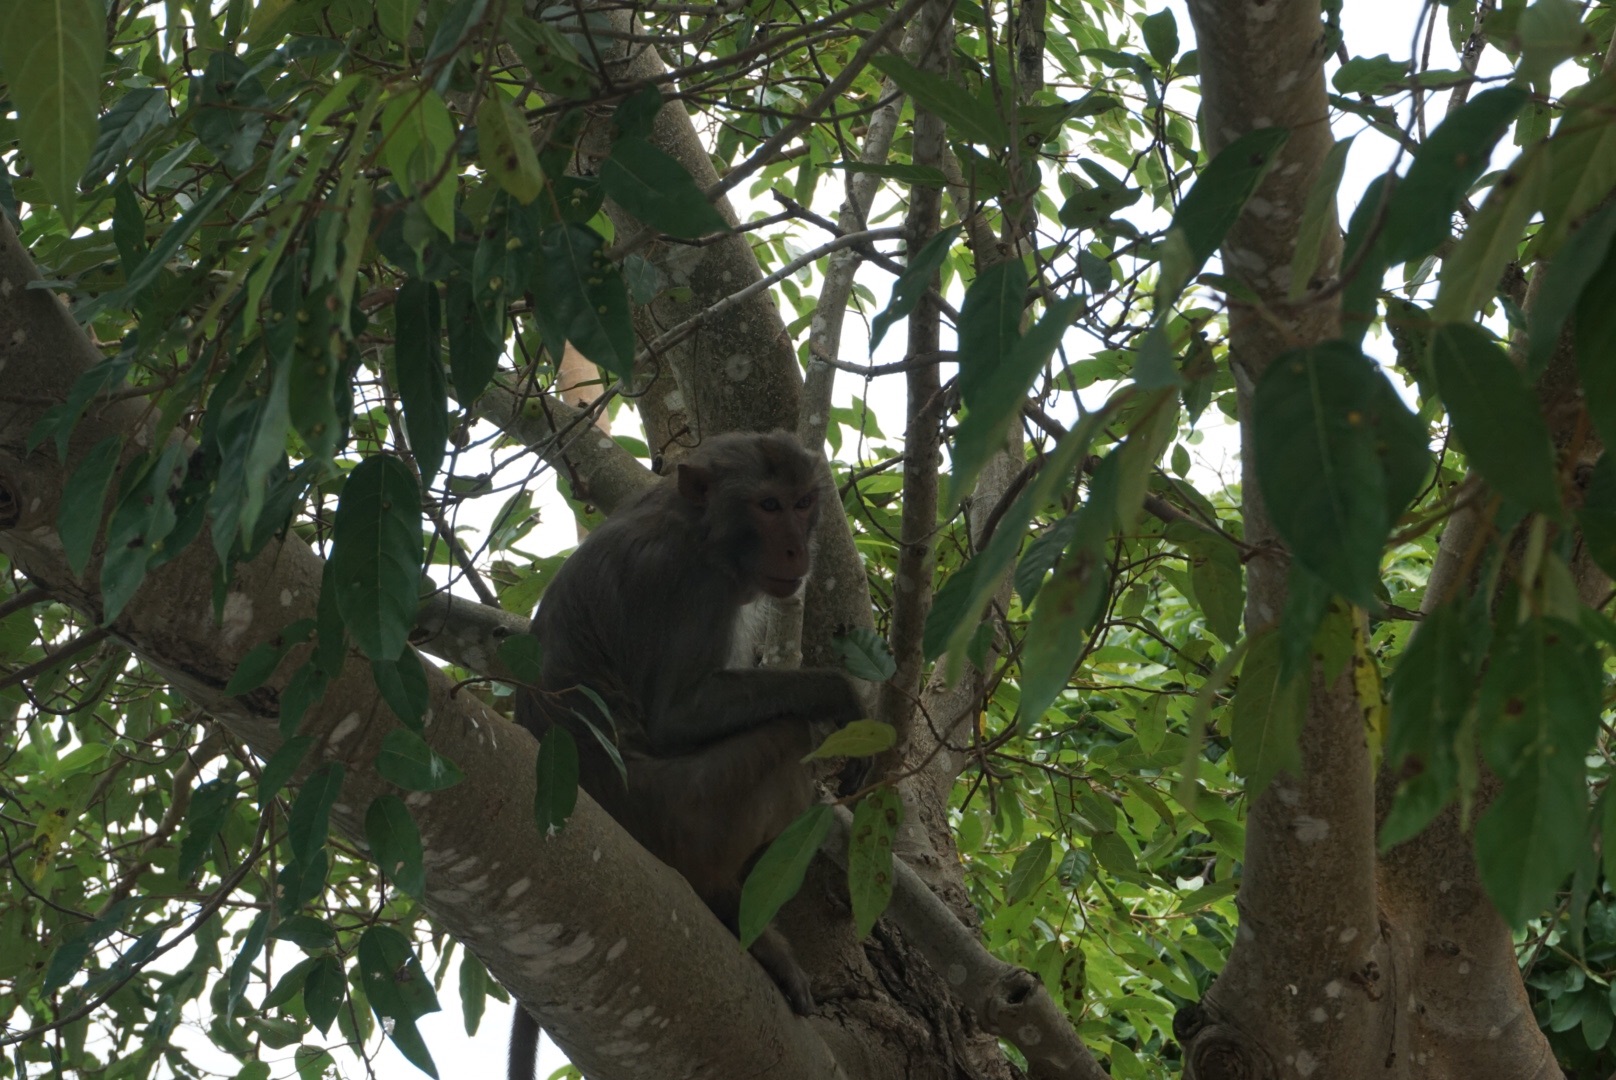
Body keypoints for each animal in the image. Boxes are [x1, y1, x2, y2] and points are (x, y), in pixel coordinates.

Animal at [507, 430, 866, 1080]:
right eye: (768, 506)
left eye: (803, 502)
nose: (796, 549)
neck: (701, 530)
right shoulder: (686, 586)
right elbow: (676, 716)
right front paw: (841, 694)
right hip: (686, 817)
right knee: (785, 736)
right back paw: (728, 905)